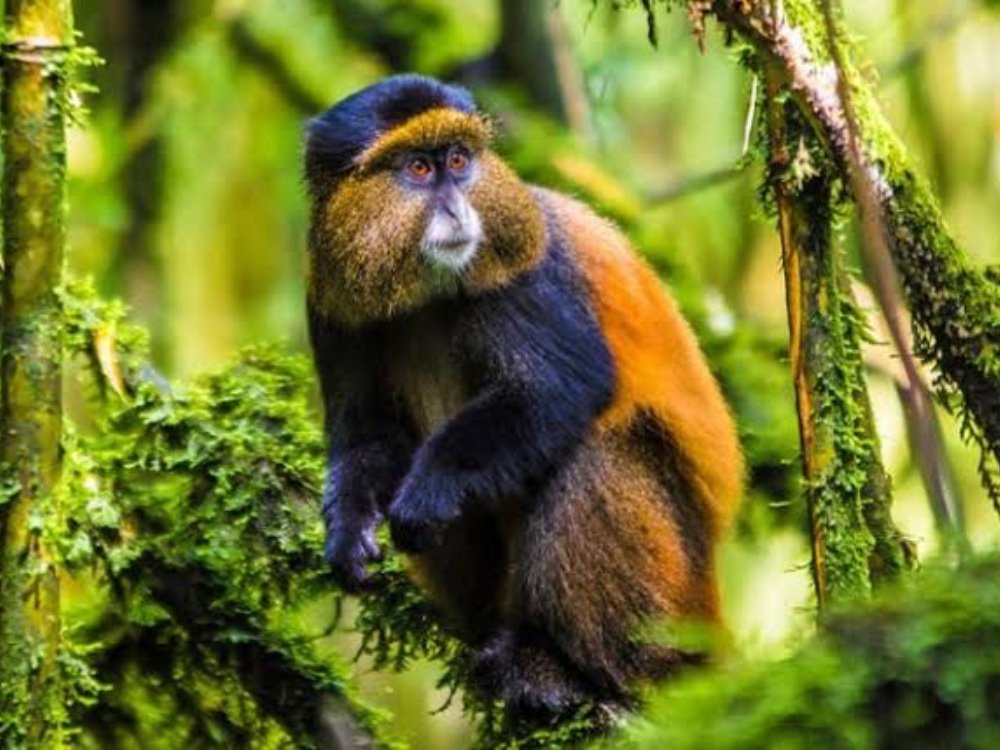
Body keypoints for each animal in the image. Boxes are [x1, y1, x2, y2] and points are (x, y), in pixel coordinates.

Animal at [304, 74, 743, 717]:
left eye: (459, 161)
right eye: (418, 169)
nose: (458, 208)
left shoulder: (523, 274)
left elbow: (559, 390)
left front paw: (429, 489)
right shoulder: (331, 303)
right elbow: (367, 433)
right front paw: (348, 528)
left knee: (592, 454)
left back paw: (574, 670)